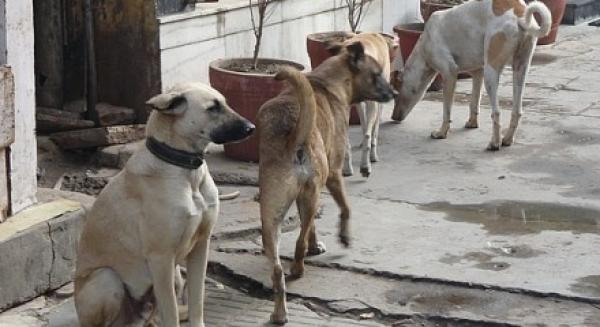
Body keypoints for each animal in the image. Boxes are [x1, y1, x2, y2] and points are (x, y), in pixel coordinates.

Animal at [74, 83, 254, 326]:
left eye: (225, 103)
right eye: (212, 108)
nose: (252, 128)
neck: (187, 172)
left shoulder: (200, 247)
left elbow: (197, 302)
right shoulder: (161, 258)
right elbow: (172, 313)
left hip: (176, 276)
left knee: (154, 317)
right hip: (107, 279)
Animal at [340, 32, 396, 178]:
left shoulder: (358, 104)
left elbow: (365, 125)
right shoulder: (377, 103)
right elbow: (373, 131)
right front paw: (372, 156)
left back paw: (347, 168)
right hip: (373, 104)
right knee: (368, 134)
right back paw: (365, 166)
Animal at [392, 0, 552, 151]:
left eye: (396, 95)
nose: (393, 117)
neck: (423, 47)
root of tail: (519, 13)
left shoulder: (450, 73)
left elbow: (446, 110)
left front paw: (442, 132)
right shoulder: (478, 73)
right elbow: (474, 102)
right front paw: (472, 123)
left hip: (491, 73)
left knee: (497, 112)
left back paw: (494, 143)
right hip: (520, 70)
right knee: (517, 111)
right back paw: (507, 139)